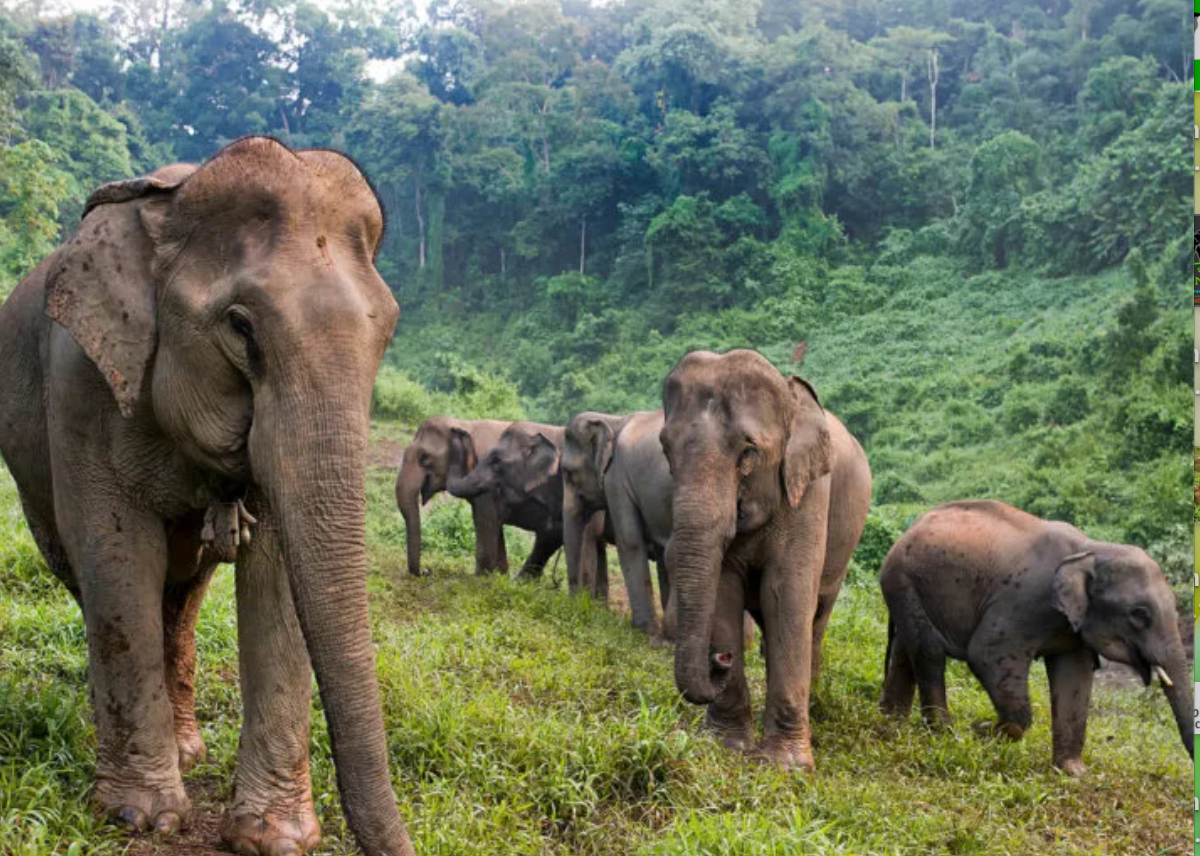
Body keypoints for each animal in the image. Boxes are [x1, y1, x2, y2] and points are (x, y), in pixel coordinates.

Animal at [0, 138, 413, 856]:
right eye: (241, 328)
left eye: (386, 331)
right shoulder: (80, 380)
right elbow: (115, 557)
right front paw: (140, 818)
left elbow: (276, 571)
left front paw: (273, 838)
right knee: (94, 578)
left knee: (184, 593)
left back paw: (187, 749)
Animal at [395, 416, 512, 576]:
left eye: (424, 457)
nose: (427, 570)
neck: (464, 424)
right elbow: (495, 523)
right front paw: (500, 575)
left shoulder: (488, 481)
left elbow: (485, 519)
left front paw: (481, 577)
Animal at [660, 349, 872, 771]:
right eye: (665, 449)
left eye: (748, 453)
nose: (720, 658)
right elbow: (725, 588)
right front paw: (728, 747)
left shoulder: (808, 494)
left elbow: (787, 593)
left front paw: (787, 765)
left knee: (815, 619)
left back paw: (814, 707)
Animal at [878, 499, 1193, 775]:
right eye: (1139, 614)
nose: (980, 726)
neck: (1089, 549)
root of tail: (911, 527)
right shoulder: (1023, 601)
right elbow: (985, 653)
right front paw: (981, 733)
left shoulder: (1071, 626)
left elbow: (1074, 677)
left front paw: (1073, 772)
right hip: (902, 579)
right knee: (928, 652)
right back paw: (944, 736)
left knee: (906, 653)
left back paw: (893, 726)